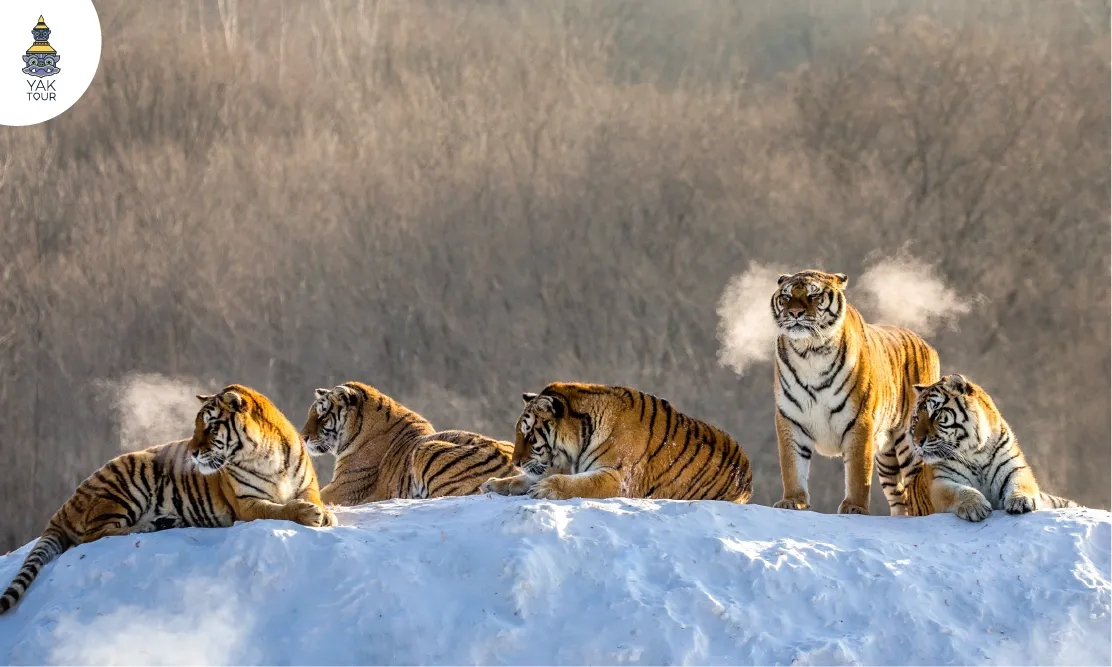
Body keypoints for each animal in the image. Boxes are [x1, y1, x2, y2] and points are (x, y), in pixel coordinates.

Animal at [0, 385, 334, 614]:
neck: (267, 455)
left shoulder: (306, 485)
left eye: (211, 427)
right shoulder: (247, 505)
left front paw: (324, 513)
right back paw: (154, 526)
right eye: (195, 427)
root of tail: (66, 505)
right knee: (95, 534)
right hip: (129, 483)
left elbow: (311, 499)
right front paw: (308, 515)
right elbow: (278, 510)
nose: (193, 453)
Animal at [480, 382, 753, 502]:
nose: (515, 462)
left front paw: (545, 488)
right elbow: (525, 479)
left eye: (528, 434)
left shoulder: (618, 477)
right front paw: (494, 484)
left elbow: (579, 484)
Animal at [771, 270, 940, 515]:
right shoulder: (790, 419)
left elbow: (858, 472)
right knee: (899, 496)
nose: (794, 313)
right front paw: (793, 501)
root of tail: (928, 346)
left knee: (915, 484)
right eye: (786, 296)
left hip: (909, 445)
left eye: (814, 295)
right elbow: (792, 465)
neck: (810, 351)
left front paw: (855, 507)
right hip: (887, 457)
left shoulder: (859, 420)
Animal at [901, 373, 1079, 521]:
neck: (976, 452)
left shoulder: (1014, 468)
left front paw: (1021, 501)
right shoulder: (941, 481)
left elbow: (1020, 483)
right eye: (916, 418)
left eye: (936, 414)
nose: (917, 441)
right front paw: (975, 506)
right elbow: (960, 491)